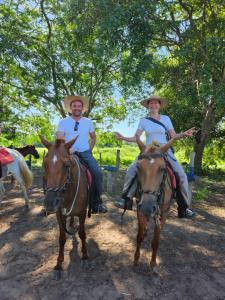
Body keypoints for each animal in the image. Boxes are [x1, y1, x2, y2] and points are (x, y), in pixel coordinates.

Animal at [40, 135, 89, 280]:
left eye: (66, 165)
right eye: (44, 164)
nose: (50, 203)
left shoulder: (83, 213)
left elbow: (82, 234)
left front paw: (85, 257)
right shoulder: (59, 215)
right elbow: (62, 238)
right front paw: (58, 265)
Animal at [134, 136, 183, 272]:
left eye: (162, 169)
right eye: (138, 167)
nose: (148, 206)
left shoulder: (163, 213)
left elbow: (156, 241)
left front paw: (153, 263)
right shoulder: (139, 209)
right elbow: (139, 236)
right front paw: (136, 258)